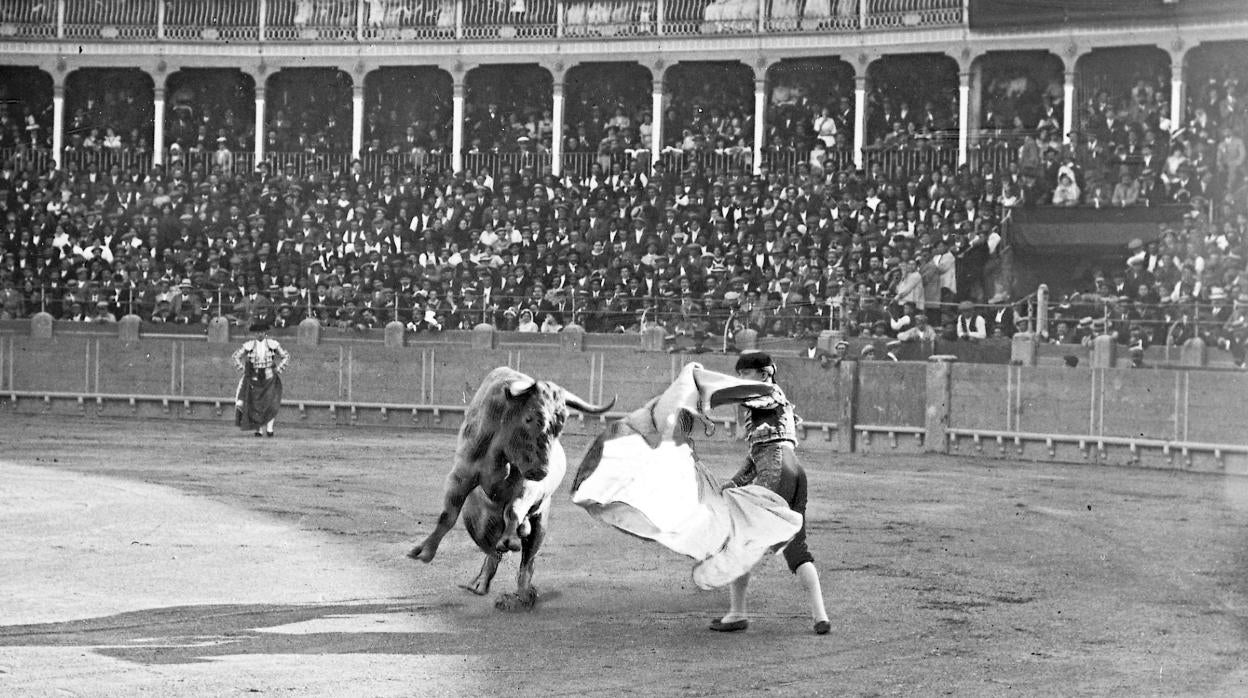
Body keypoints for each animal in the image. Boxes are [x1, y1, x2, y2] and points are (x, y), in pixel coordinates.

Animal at [406, 367, 611, 611]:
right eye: (529, 417)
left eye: (560, 425)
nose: (543, 470)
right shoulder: (460, 475)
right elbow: (448, 515)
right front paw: (424, 552)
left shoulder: (528, 485)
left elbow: (513, 511)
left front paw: (511, 541)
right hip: (475, 520)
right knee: (491, 551)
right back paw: (481, 584)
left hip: (540, 521)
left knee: (526, 559)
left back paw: (523, 593)